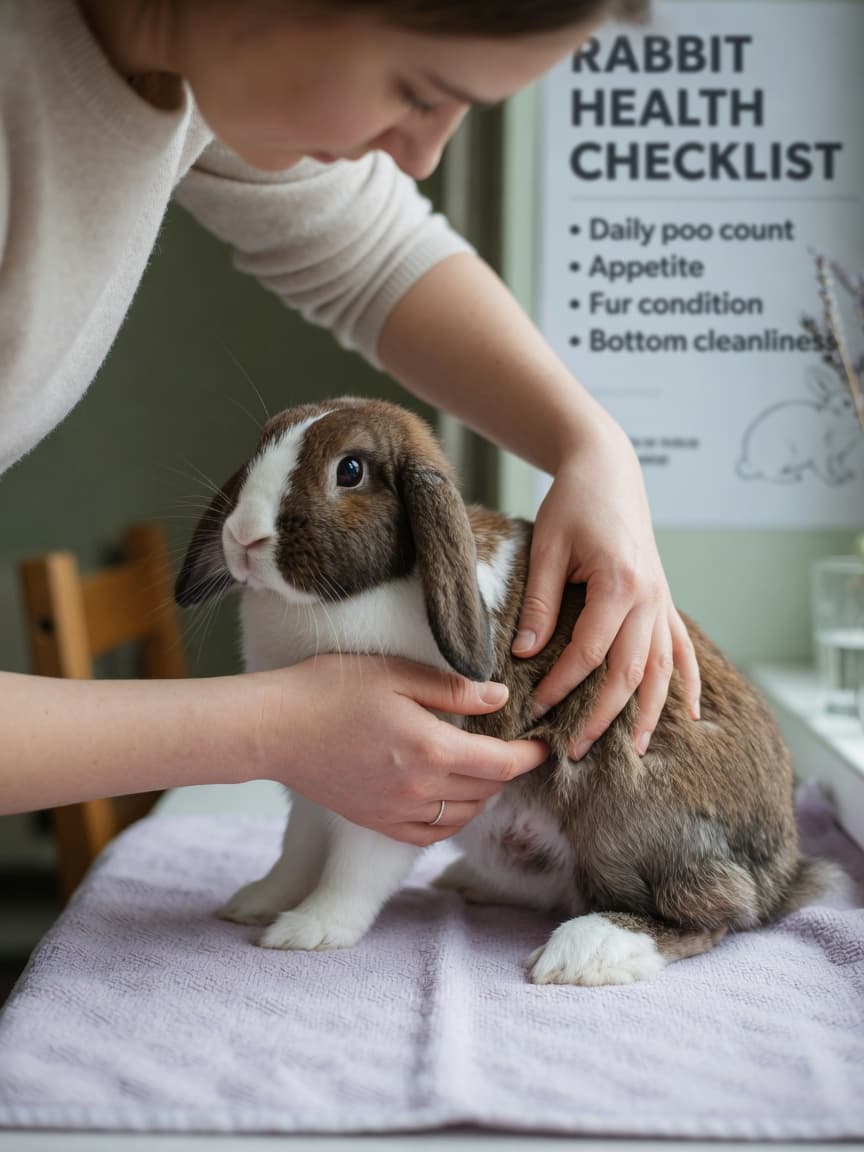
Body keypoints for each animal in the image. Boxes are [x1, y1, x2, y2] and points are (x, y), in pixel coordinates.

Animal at [176, 396, 843, 986]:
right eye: (262, 445)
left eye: (351, 470)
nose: (244, 538)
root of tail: (783, 871)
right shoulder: (316, 789)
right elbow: (296, 852)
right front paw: (255, 902)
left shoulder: (396, 796)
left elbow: (353, 870)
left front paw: (307, 931)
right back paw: (471, 883)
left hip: (620, 795)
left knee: (712, 915)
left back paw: (588, 953)